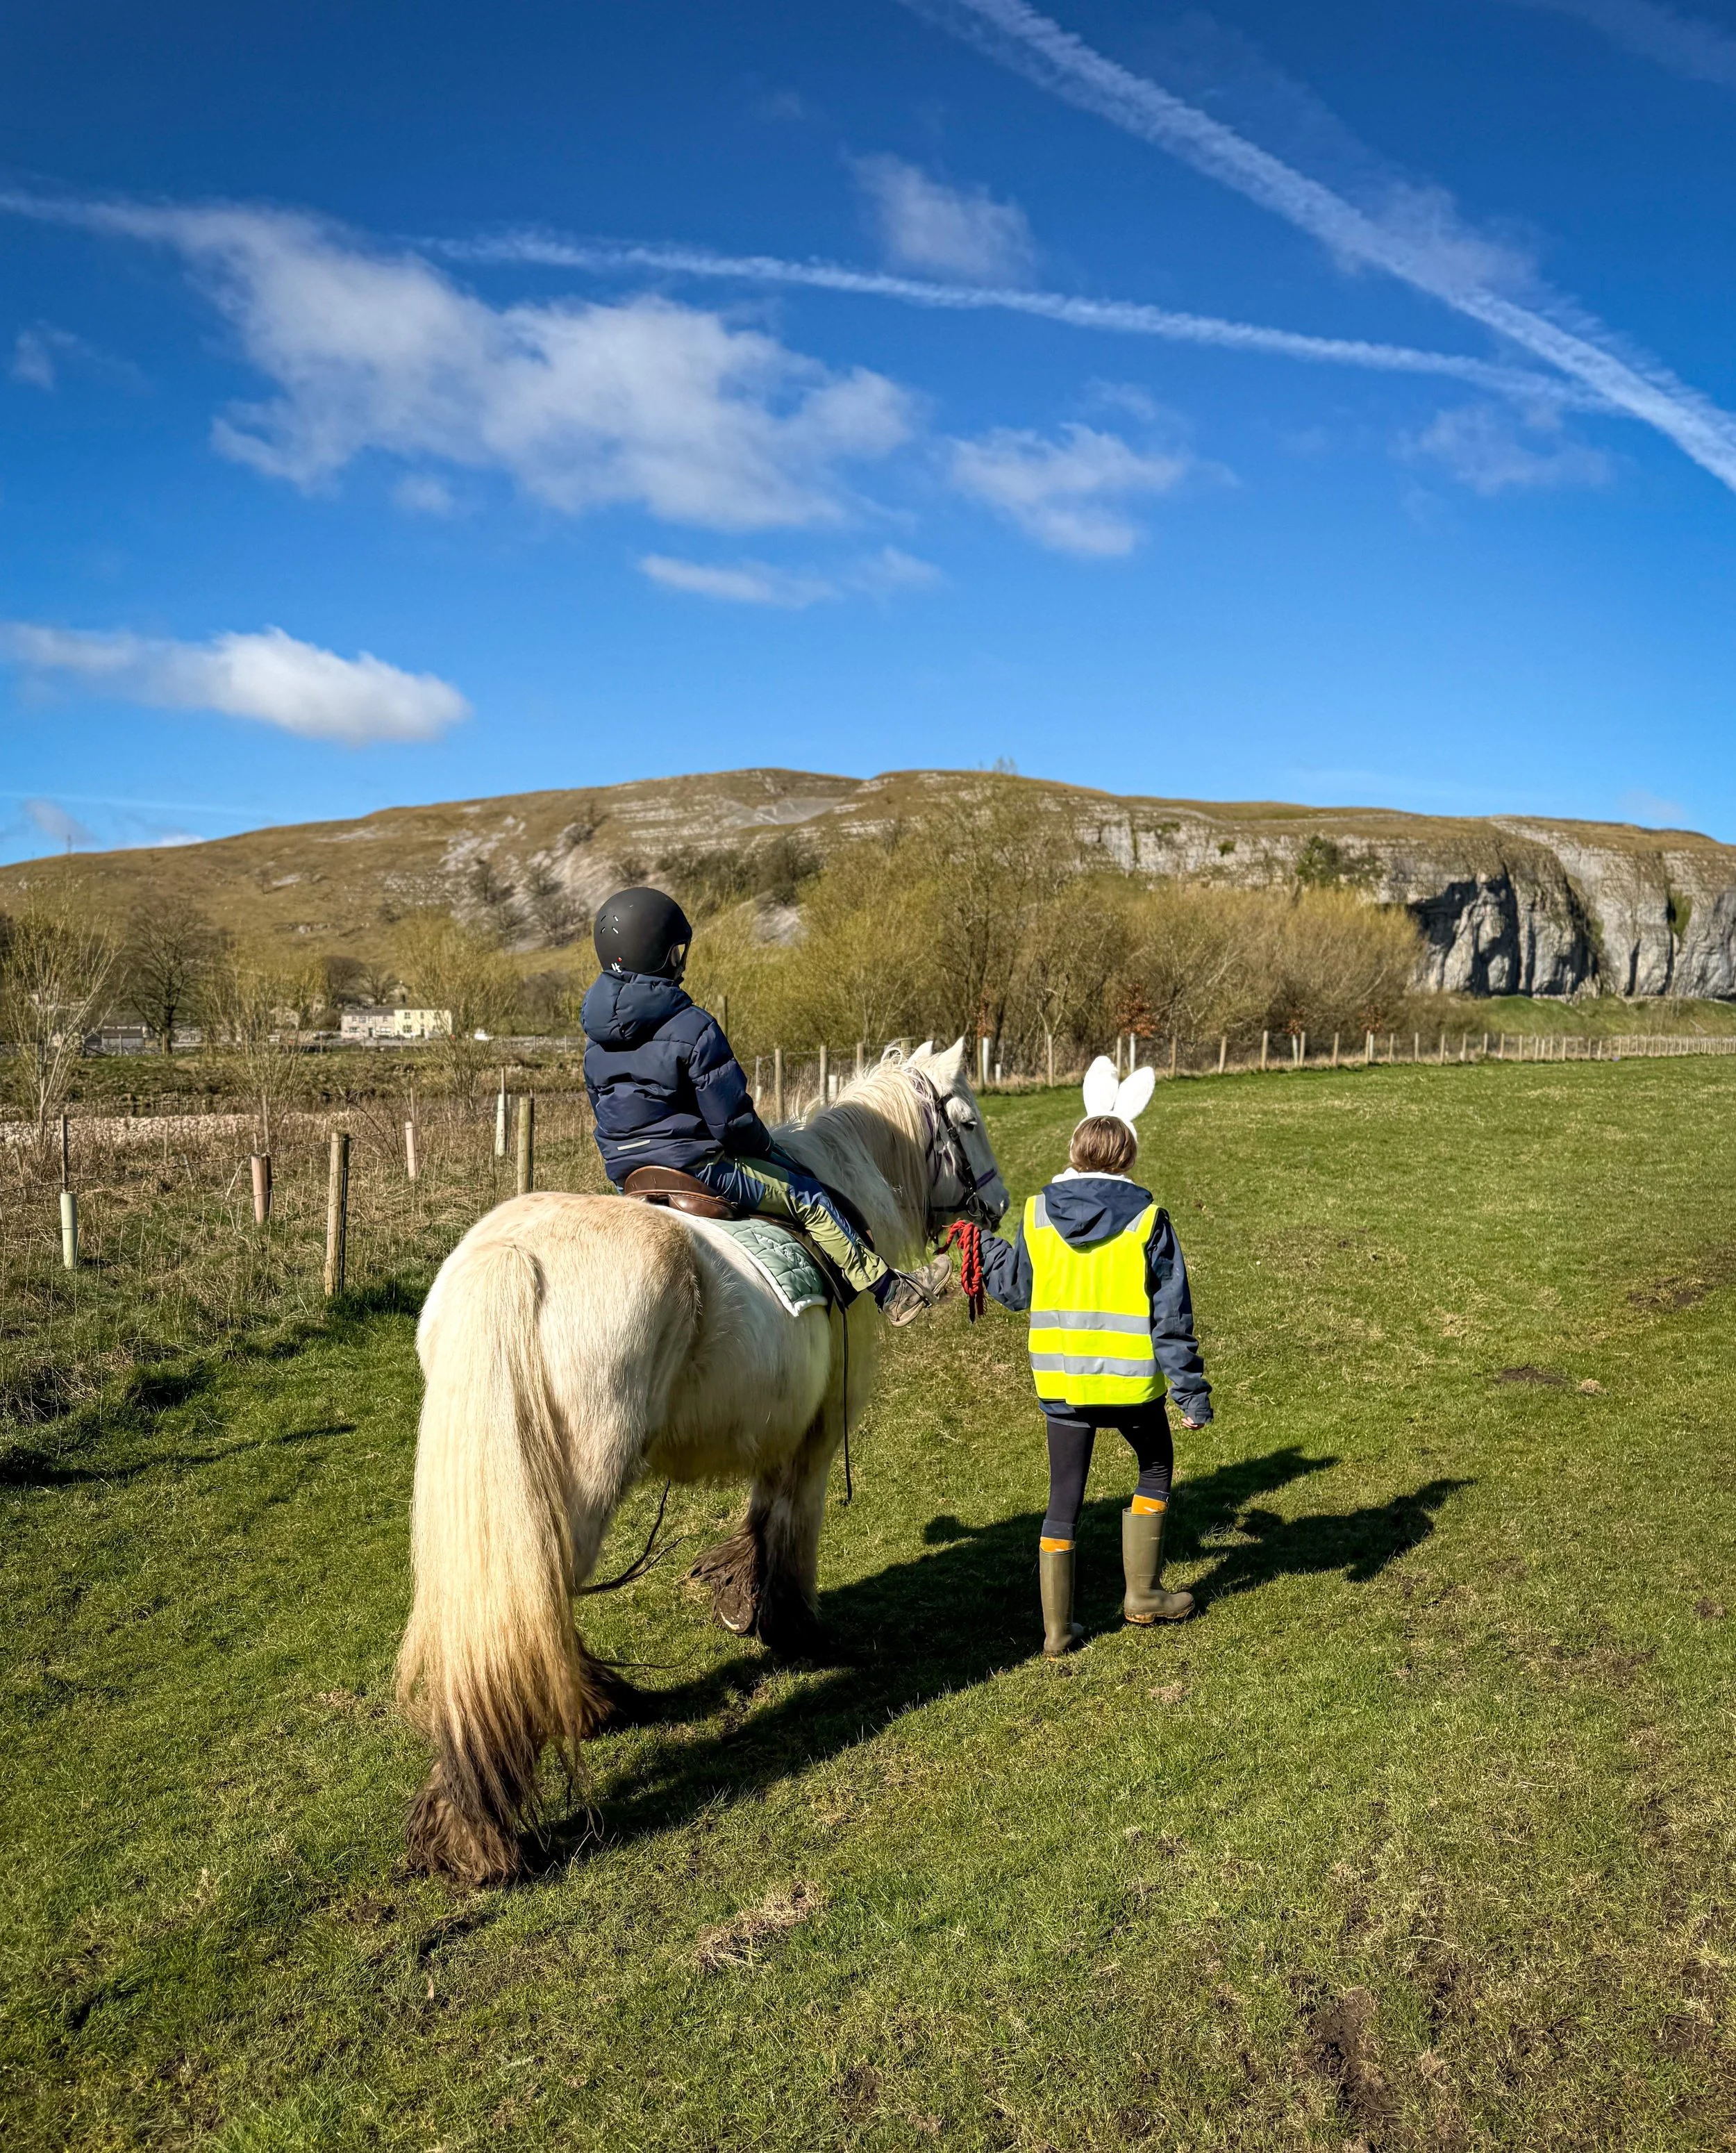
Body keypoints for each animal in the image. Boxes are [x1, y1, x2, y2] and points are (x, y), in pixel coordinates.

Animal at [395, 1037, 1009, 1885]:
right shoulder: (817, 1432)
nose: (1001, 1203)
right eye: (968, 1120)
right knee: (532, 1606)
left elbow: (761, 1513)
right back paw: (486, 1824)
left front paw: (738, 1595)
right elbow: (791, 1520)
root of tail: (509, 1255)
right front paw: (792, 1624)